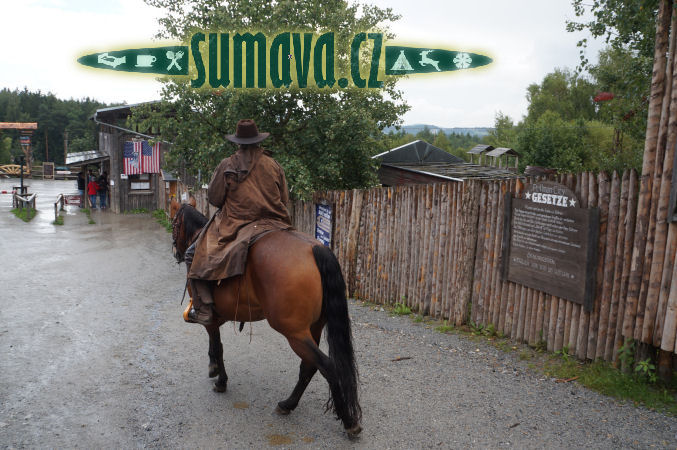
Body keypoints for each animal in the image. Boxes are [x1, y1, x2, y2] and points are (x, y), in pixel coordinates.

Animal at [172, 204, 362, 436]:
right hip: (313, 328)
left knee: (327, 367)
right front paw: (213, 368)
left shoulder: (210, 320)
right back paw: (288, 404)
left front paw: (221, 380)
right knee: (309, 366)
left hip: (295, 334)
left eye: (174, 223)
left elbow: (218, 347)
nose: (177, 252)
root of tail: (316, 249)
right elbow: (216, 346)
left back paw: (348, 420)